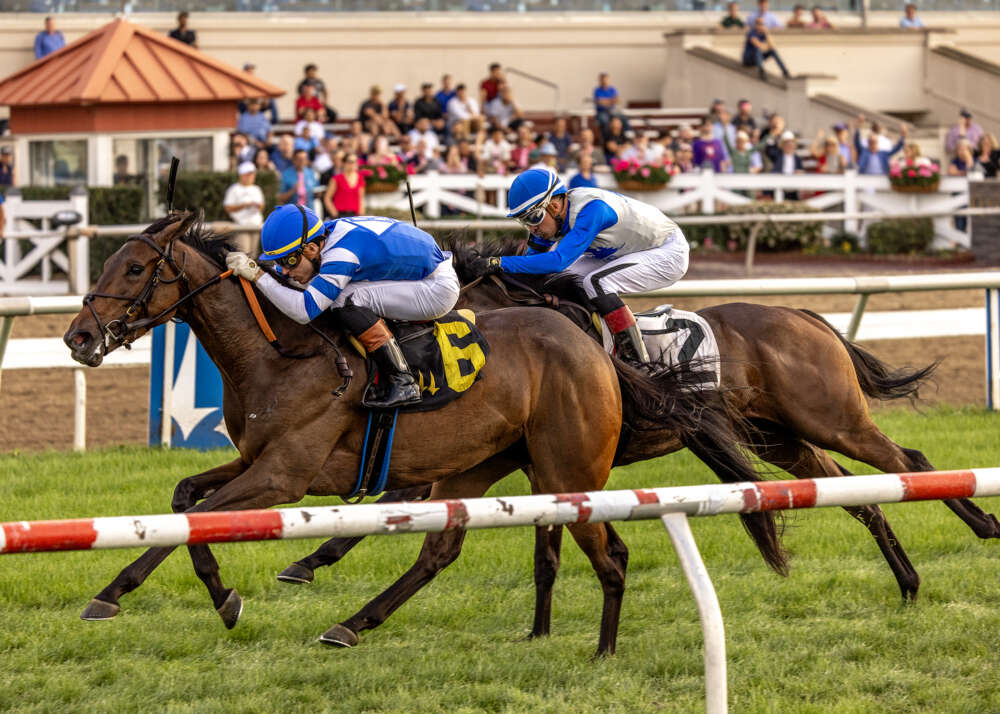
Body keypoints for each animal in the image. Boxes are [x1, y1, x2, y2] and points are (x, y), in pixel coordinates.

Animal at [62, 213, 780, 656]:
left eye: (133, 270)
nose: (78, 337)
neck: (279, 354)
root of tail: (597, 352)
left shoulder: (284, 476)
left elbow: (196, 521)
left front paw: (121, 595)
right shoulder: (255, 462)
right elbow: (186, 502)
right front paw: (210, 594)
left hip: (567, 470)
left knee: (611, 554)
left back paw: (601, 650)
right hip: (485, 466)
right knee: (441, 551)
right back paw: (351, 625)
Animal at [279, 235, 1000, 631]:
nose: (376, 345)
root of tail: (804, 314)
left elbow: (407, 503)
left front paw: (311, 563)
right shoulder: (516, 457)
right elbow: (414, 510)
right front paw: (307, 561)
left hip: (832, 416)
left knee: (907, 458)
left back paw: (983, 526)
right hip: (780, 439)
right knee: (861, 495)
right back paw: (909, 581)